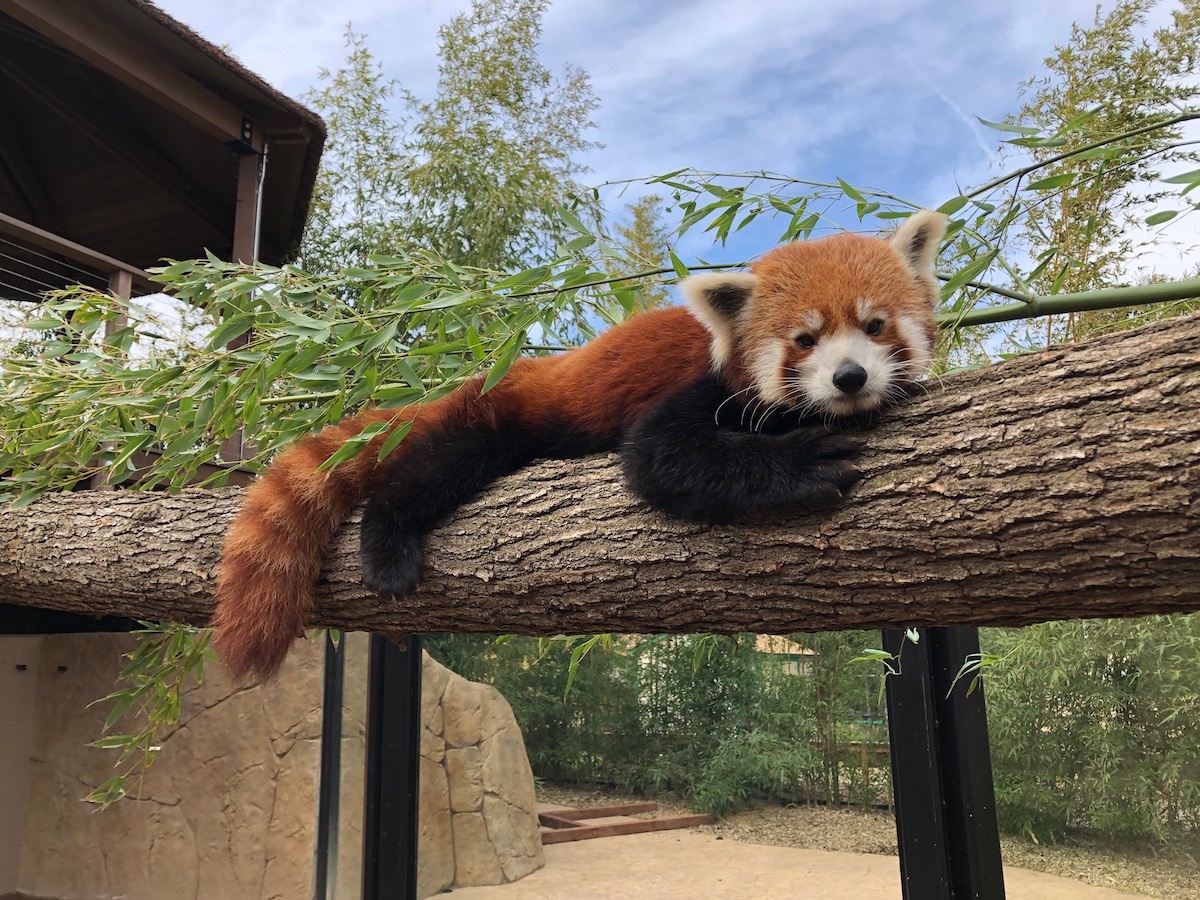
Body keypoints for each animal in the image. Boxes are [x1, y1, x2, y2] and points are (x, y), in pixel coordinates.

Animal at [213, 210, 945, 676]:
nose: (849, 378)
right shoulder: (693, 389)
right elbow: (660, 459)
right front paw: (805, 458)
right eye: (805, 340)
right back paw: (388, 542)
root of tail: (503, 371)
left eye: (875, 326)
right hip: (497, 419)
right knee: (427, 469)